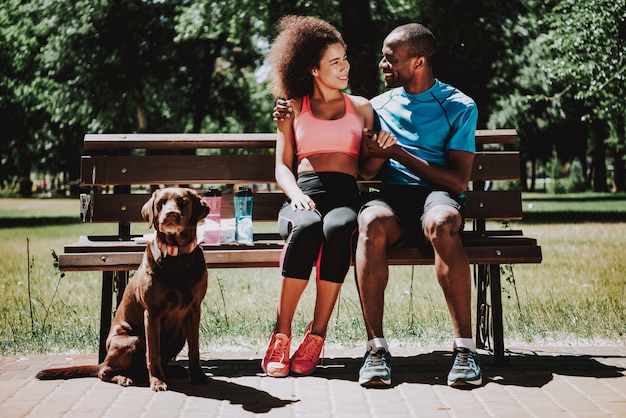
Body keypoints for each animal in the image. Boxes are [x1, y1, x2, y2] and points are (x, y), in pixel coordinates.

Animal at [37, 188, 211, 390]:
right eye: (160, 203)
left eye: (183, 202)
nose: (170, 215)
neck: (177, 258)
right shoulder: (152, 313)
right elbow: (153, 353)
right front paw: (157, 381)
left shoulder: (194, 309)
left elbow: (194, 349)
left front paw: (197, 375)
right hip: (133, 340)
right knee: (104, 372)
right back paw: (123, 377)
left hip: (179, 335)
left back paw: (172, 371)